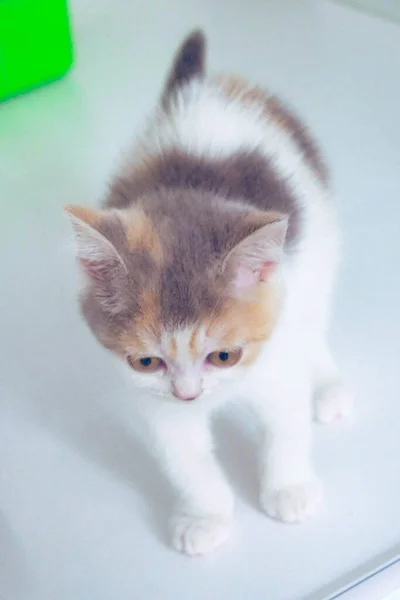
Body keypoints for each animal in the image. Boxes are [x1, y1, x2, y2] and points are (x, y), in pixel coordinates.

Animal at [65, 30, 354, 556]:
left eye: (224, 356)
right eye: (146, 361)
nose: (189, 394)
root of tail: (201, 91)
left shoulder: (276, 350)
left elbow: (285, 423)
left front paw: (288, 488)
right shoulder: (151, 399)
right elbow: (185, 461)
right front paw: (206, 516)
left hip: (319, 247)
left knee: (314, 320)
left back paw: (328, 385)